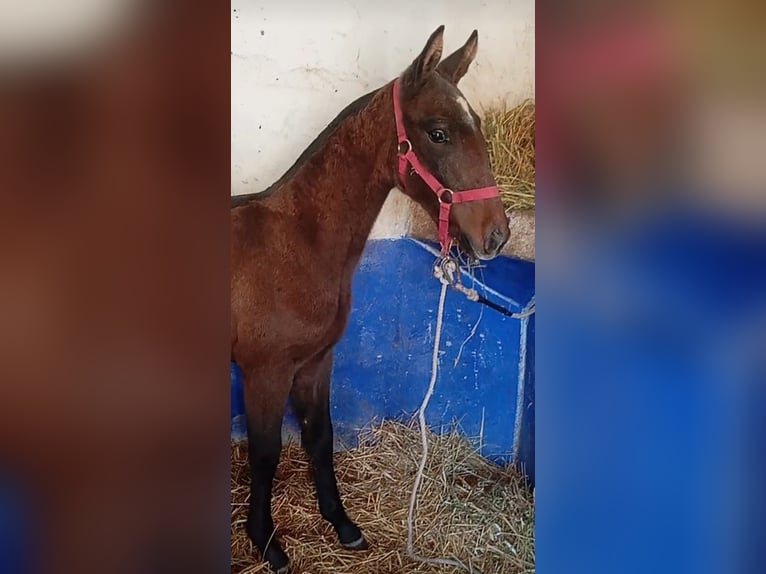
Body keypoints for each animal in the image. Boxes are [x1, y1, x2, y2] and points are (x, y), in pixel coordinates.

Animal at [231, 25, 512, 574]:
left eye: (478, 124)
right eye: (439, 133)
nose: (495, 235)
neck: (298, 241)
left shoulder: (316, 362)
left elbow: (320, 436)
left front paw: (342, 524)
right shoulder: (264, 372)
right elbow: (266, 452)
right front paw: (267, 543)